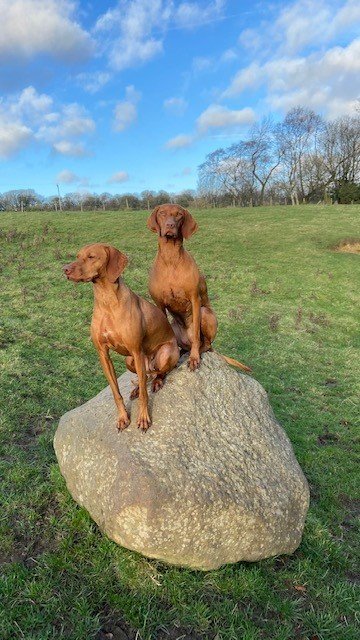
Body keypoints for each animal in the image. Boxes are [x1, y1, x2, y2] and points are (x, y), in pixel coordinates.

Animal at [64, 244, 179, 430]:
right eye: (78, 256)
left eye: (91, 257)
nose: (65, 269)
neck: (106, 301)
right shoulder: (103, 354)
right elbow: (115, 391)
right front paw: (123, 417)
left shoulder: (137, 350)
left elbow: (145, 395)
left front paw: (143, 418)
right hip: (130, 360)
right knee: (144, 377)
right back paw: (137, 388)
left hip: (164, 353)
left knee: (159, 373)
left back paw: (157, 382)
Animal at [146, 205, 250, 372]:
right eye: (162, 213)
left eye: (179, 215)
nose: (170, 225)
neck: (171, 257)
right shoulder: (159, 304)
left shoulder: (195, 299)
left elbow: (196, 335)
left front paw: (194, 358)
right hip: (174, 327)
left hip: (205, 313)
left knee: (205, 344)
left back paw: (195, 352)